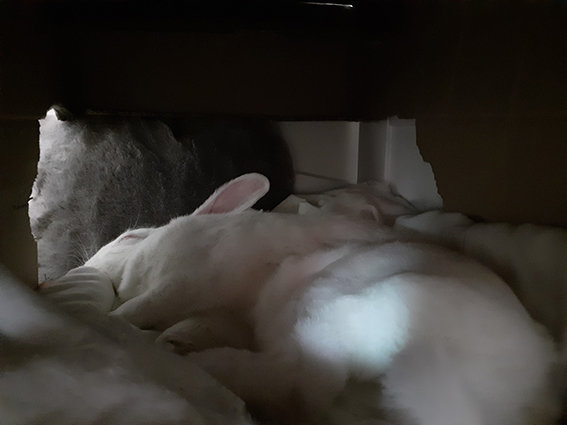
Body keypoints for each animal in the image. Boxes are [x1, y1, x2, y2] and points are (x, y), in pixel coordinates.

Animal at [85, 173, 560, 425]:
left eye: (128, 236)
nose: (89, 263)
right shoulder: (216, 313)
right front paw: (174, 336)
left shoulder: (184, 279)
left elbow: (144, 306)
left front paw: (119, 321)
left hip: (326, 307)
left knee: (300, 380)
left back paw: (205, 364)